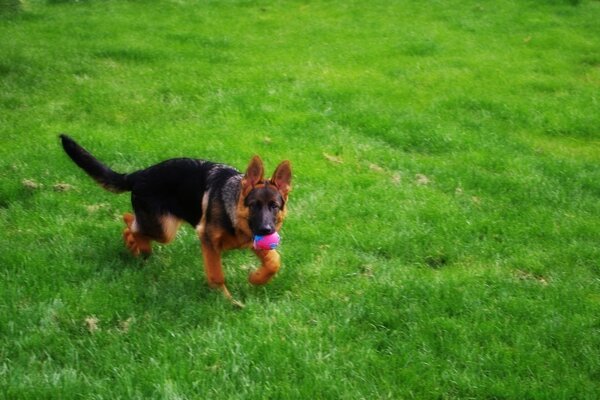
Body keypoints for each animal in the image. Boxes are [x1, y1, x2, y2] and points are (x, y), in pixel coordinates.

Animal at [61, 134, 292, 304]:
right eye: (253, 205)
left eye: (274, 206)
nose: (266, 230)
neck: (232, 207)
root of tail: (139, 174)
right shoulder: (208, 240)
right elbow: (216, 274)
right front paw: (227, 301)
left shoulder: (252, 240)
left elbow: (274, 261)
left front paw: (256, 278)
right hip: (164, 228)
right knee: (131, 223)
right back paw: (139, 247)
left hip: (161, 226)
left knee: (131, 223)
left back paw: (135, 248)